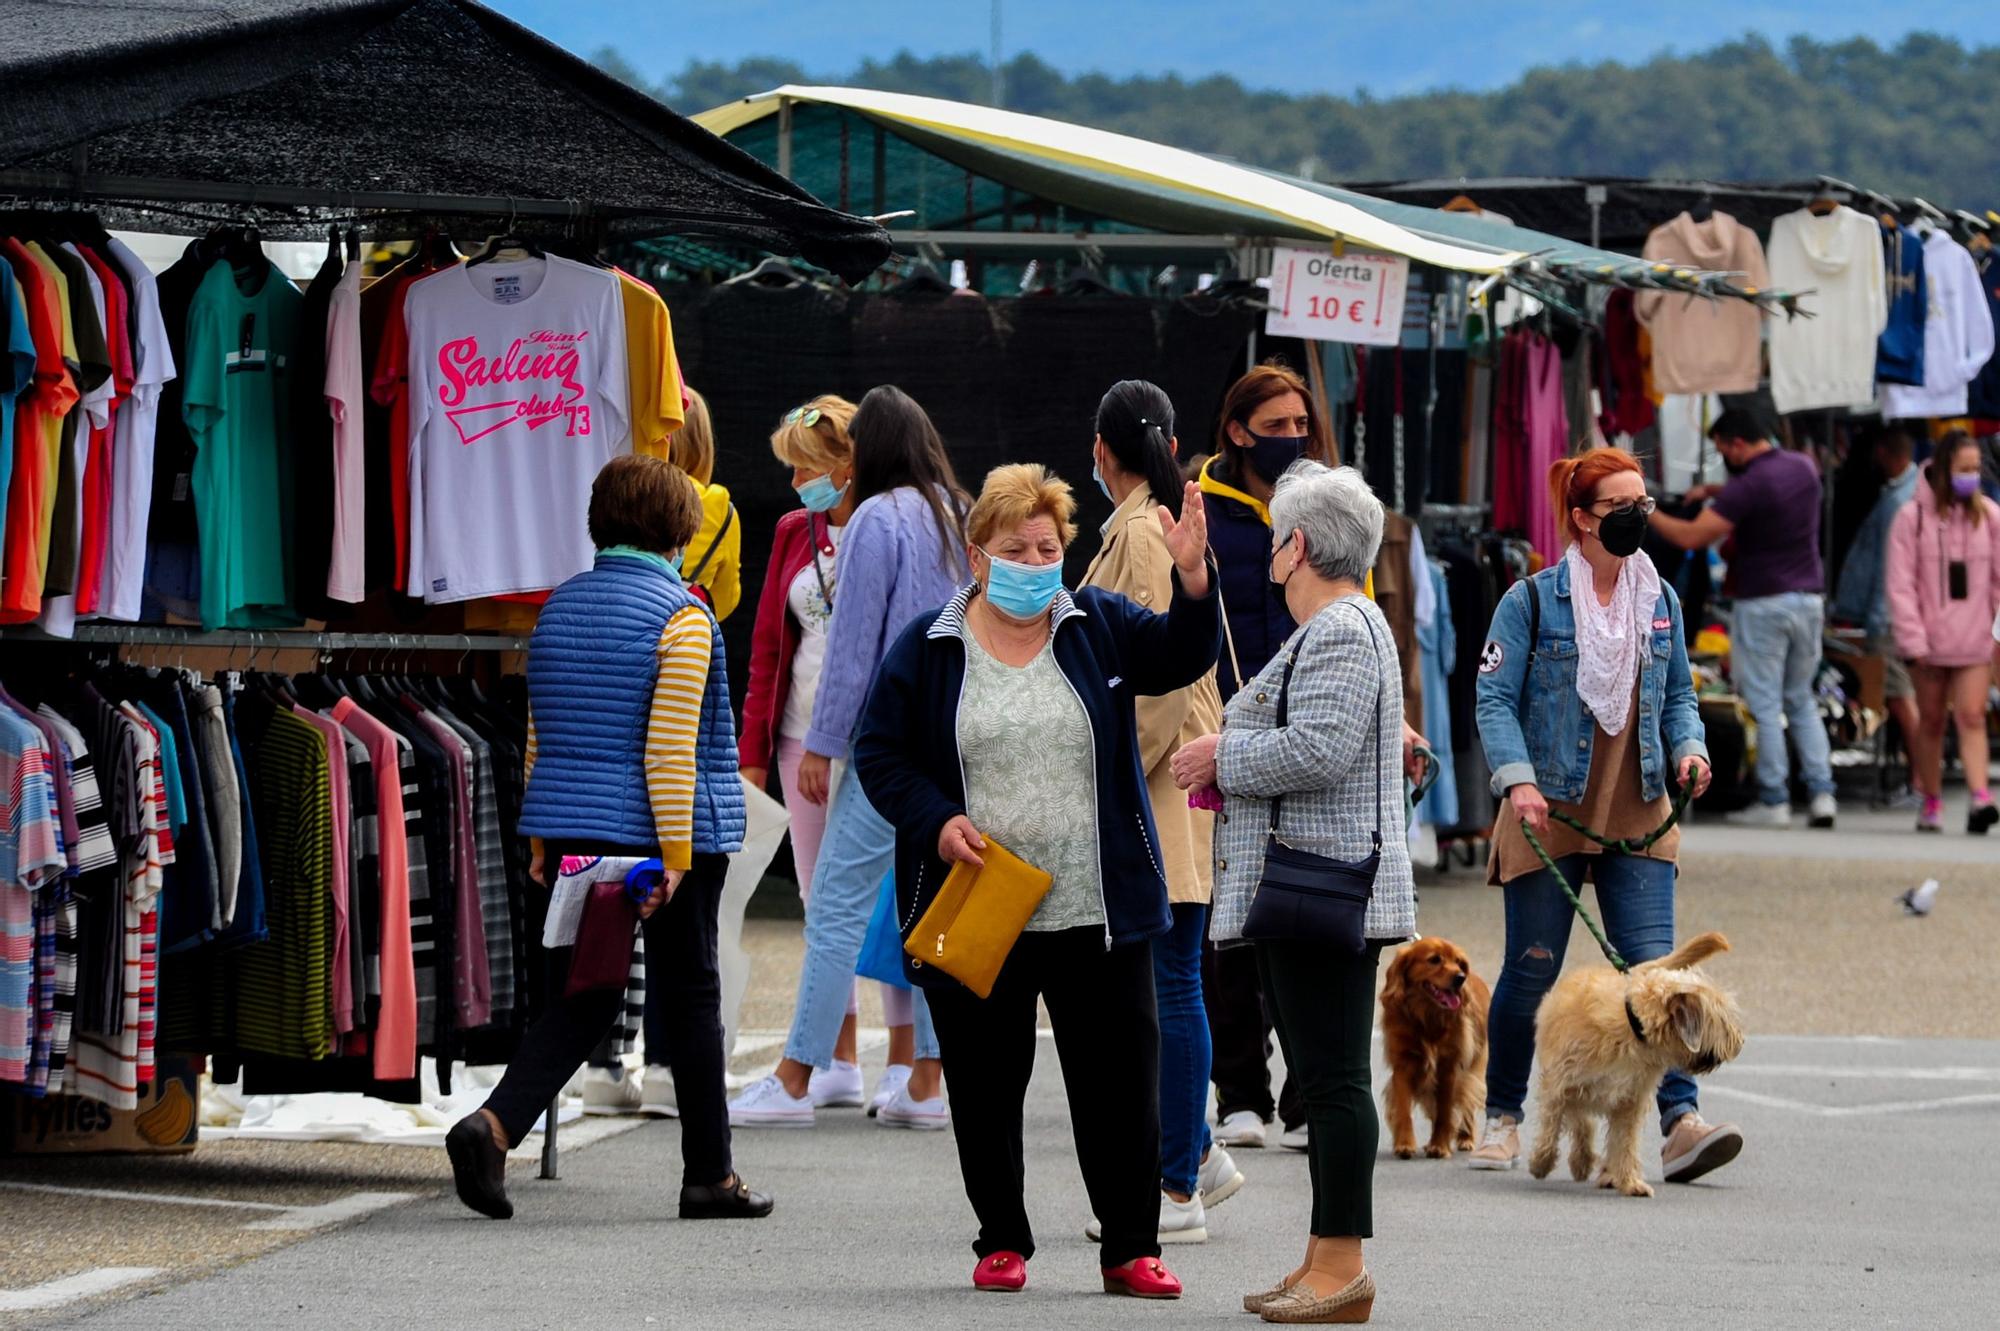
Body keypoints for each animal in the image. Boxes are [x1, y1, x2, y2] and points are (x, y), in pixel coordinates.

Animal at [1384, 927, 1496, 1159]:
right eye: (1434, 960)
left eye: (1458, 962)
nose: (1461, 977)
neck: (1428, 1016)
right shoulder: (1403, 1064)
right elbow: (1403, 1107)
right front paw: (1405, 1144)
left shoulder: (1450, 1067)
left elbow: (1445, 1111)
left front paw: (1439, 1145)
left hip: (1474, 1065)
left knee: (1467, 1104)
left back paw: (1465, 1138)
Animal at [1536, 927, 1744, 1199]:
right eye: (1720, 1019)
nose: (1740, 1041)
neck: (1633, 1030)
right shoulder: (1561, 1085)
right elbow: (1552, 1128)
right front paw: (1542, 1162)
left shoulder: (1629, 1102)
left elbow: (1625, 1143)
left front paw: (1629, 1181)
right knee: (1580, 1123)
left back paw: (1604, 1171)